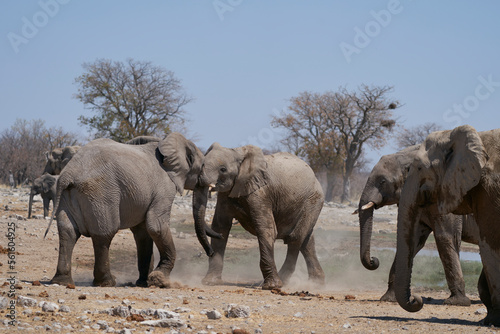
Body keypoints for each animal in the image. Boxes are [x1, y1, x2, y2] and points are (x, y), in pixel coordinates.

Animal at [47, 132, 221, 288]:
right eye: (203, 166)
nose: (211, 253)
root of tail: (69, 173)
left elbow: (143, 233)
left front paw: (144, 283)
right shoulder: (164, 188)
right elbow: (156, 226)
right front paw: (159, 280)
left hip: (67, 196)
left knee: (68, 232)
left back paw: (62, 282)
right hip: (100, 193)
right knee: (104, 234)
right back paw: (107, 282)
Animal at [191, 143, 324, 290]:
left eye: (223, 169)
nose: (209, 252)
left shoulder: (260, 193)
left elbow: (266, 229)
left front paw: (271, 286)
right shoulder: (226, 194)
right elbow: (221, 226)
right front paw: (210, 282)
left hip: (313, 201)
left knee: (296, 238)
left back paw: (282, 281)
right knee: (307, 242)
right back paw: (315, 284)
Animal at [358, 144, 478, 306]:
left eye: (382, 181)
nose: (374, 260)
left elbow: (446, 238)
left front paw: (456, 302)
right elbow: (413, 242)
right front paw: (389, 299)